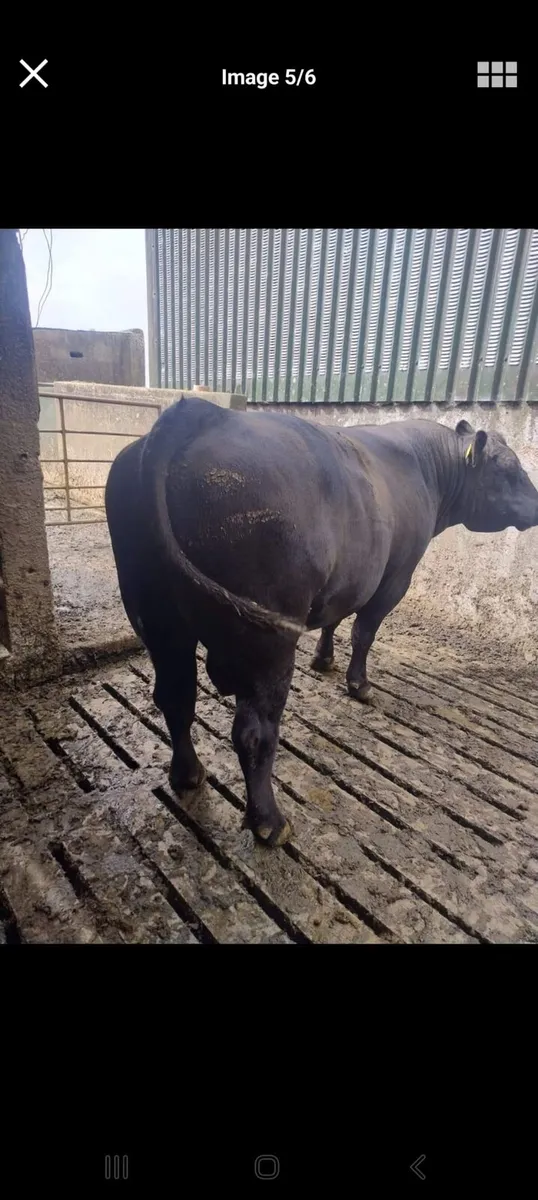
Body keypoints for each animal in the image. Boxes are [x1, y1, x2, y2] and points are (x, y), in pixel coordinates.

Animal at [105, 397, 538, 849]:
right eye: (509, 470)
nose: (537, 504)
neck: (427, 469)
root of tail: (204, 414)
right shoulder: (395, 576)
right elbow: (364, 632)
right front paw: (359, 685)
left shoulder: (351, 577)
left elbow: (336, 618)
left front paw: (324, 659)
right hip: (267, 640)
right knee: (253, 732)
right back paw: (269, 822)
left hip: (158, 621)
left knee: (175, 698)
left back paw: (188, 775)